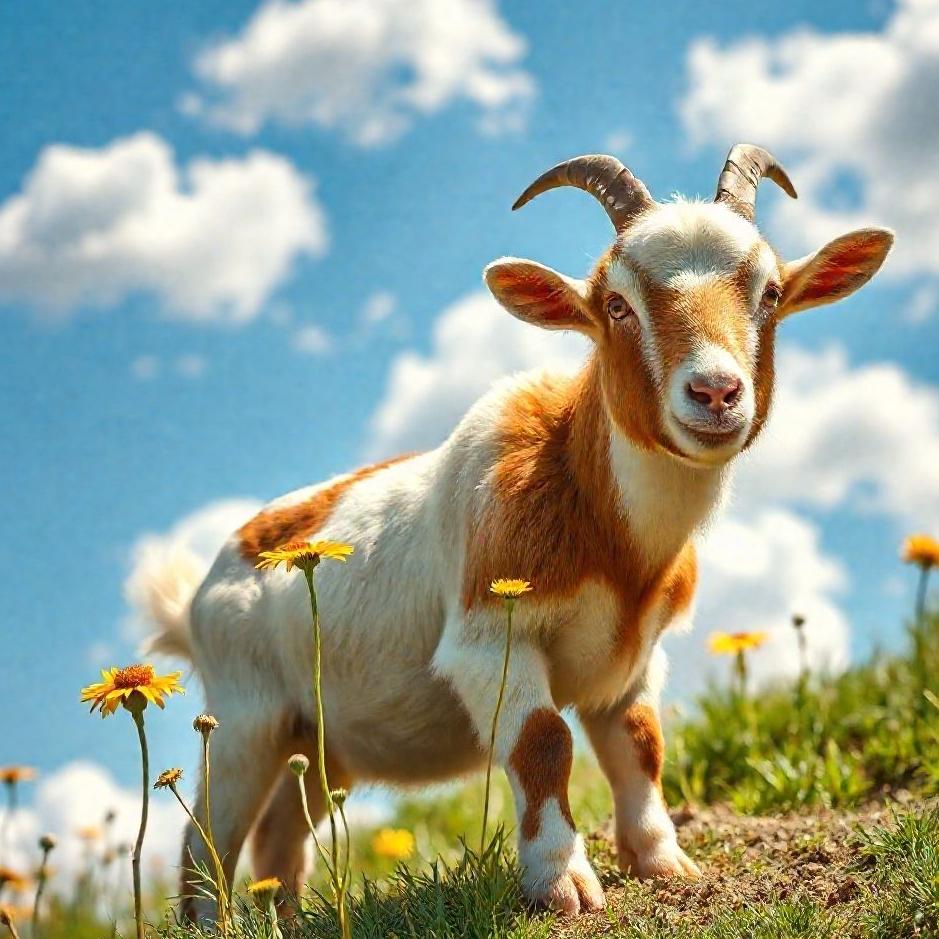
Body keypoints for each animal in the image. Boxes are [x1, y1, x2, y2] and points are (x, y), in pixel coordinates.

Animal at [137, 144, 892, 917]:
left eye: (768, 294)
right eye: (615, 304)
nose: (715, 392)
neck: (606, 528)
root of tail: (202, 591)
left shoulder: (636, 659)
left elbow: (641, 744)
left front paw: (662, 862)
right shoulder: (489, 641)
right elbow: (543, 742)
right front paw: (562, 881)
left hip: (317, 742)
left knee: (281, 834)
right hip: (244, 719)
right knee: (207, 834)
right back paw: (210, 921)